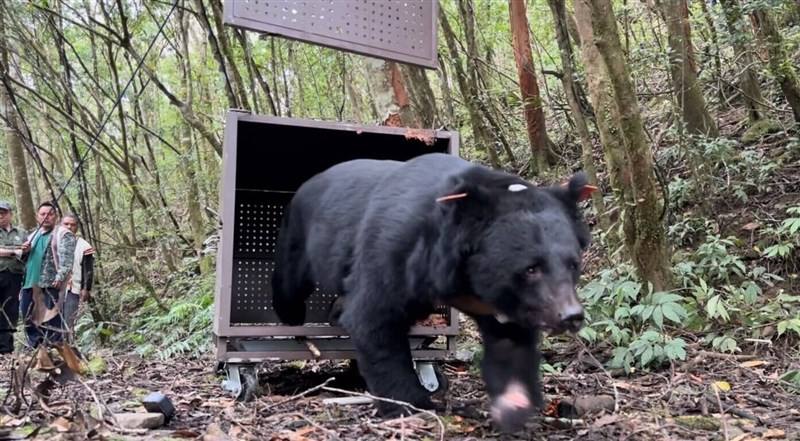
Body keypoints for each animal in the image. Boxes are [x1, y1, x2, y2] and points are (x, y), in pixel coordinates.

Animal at [271, 153, 594, 432]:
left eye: (573, 264)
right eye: (531, 268)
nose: (571, 316)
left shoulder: (504, 302)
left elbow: (509, 343)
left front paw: (513, 405)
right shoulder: (395, 249)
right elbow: (373, 317)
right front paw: (410, 405)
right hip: (299, 236)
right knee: (290, 282)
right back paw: (292, 320)